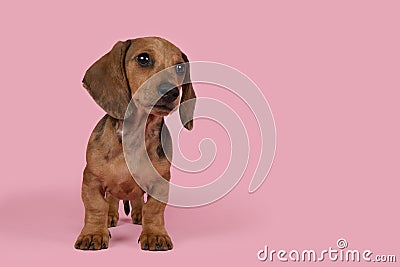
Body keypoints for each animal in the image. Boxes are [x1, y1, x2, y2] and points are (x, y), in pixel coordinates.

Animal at [74, 37, 196, 251]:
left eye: (180, 67)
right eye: (143, 58)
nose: (171, 92)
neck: (135, 136)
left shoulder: (161, 182)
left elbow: (154, 209)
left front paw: (155, 235)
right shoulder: (91, 180)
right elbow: (96, 206)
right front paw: (93, 233)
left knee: (139, 200)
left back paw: (139, 216)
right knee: (112, 200)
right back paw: (110, 217)